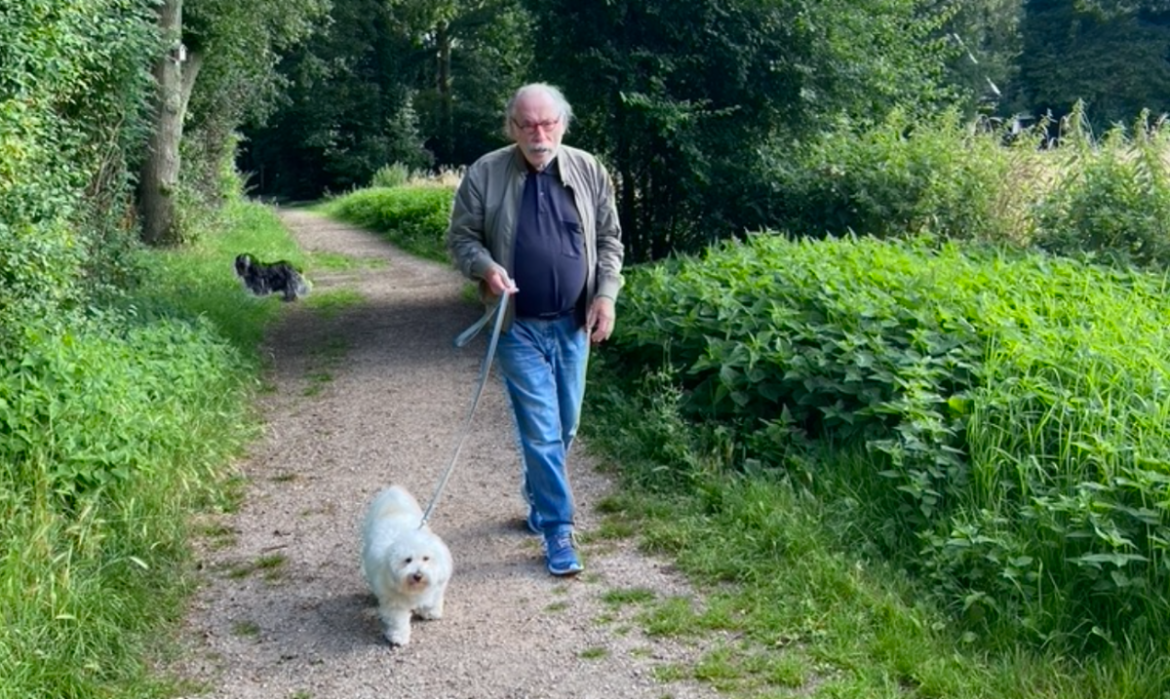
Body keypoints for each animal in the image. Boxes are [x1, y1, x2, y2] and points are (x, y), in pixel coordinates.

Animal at [355, 484, 451, 641]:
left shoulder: (438, 584)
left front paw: (431, 612)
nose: (418, 575)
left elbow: (433, 598)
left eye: (426, 558)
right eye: (407, 560)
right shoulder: (394, 601)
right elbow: (397, 620)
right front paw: (399, 636)